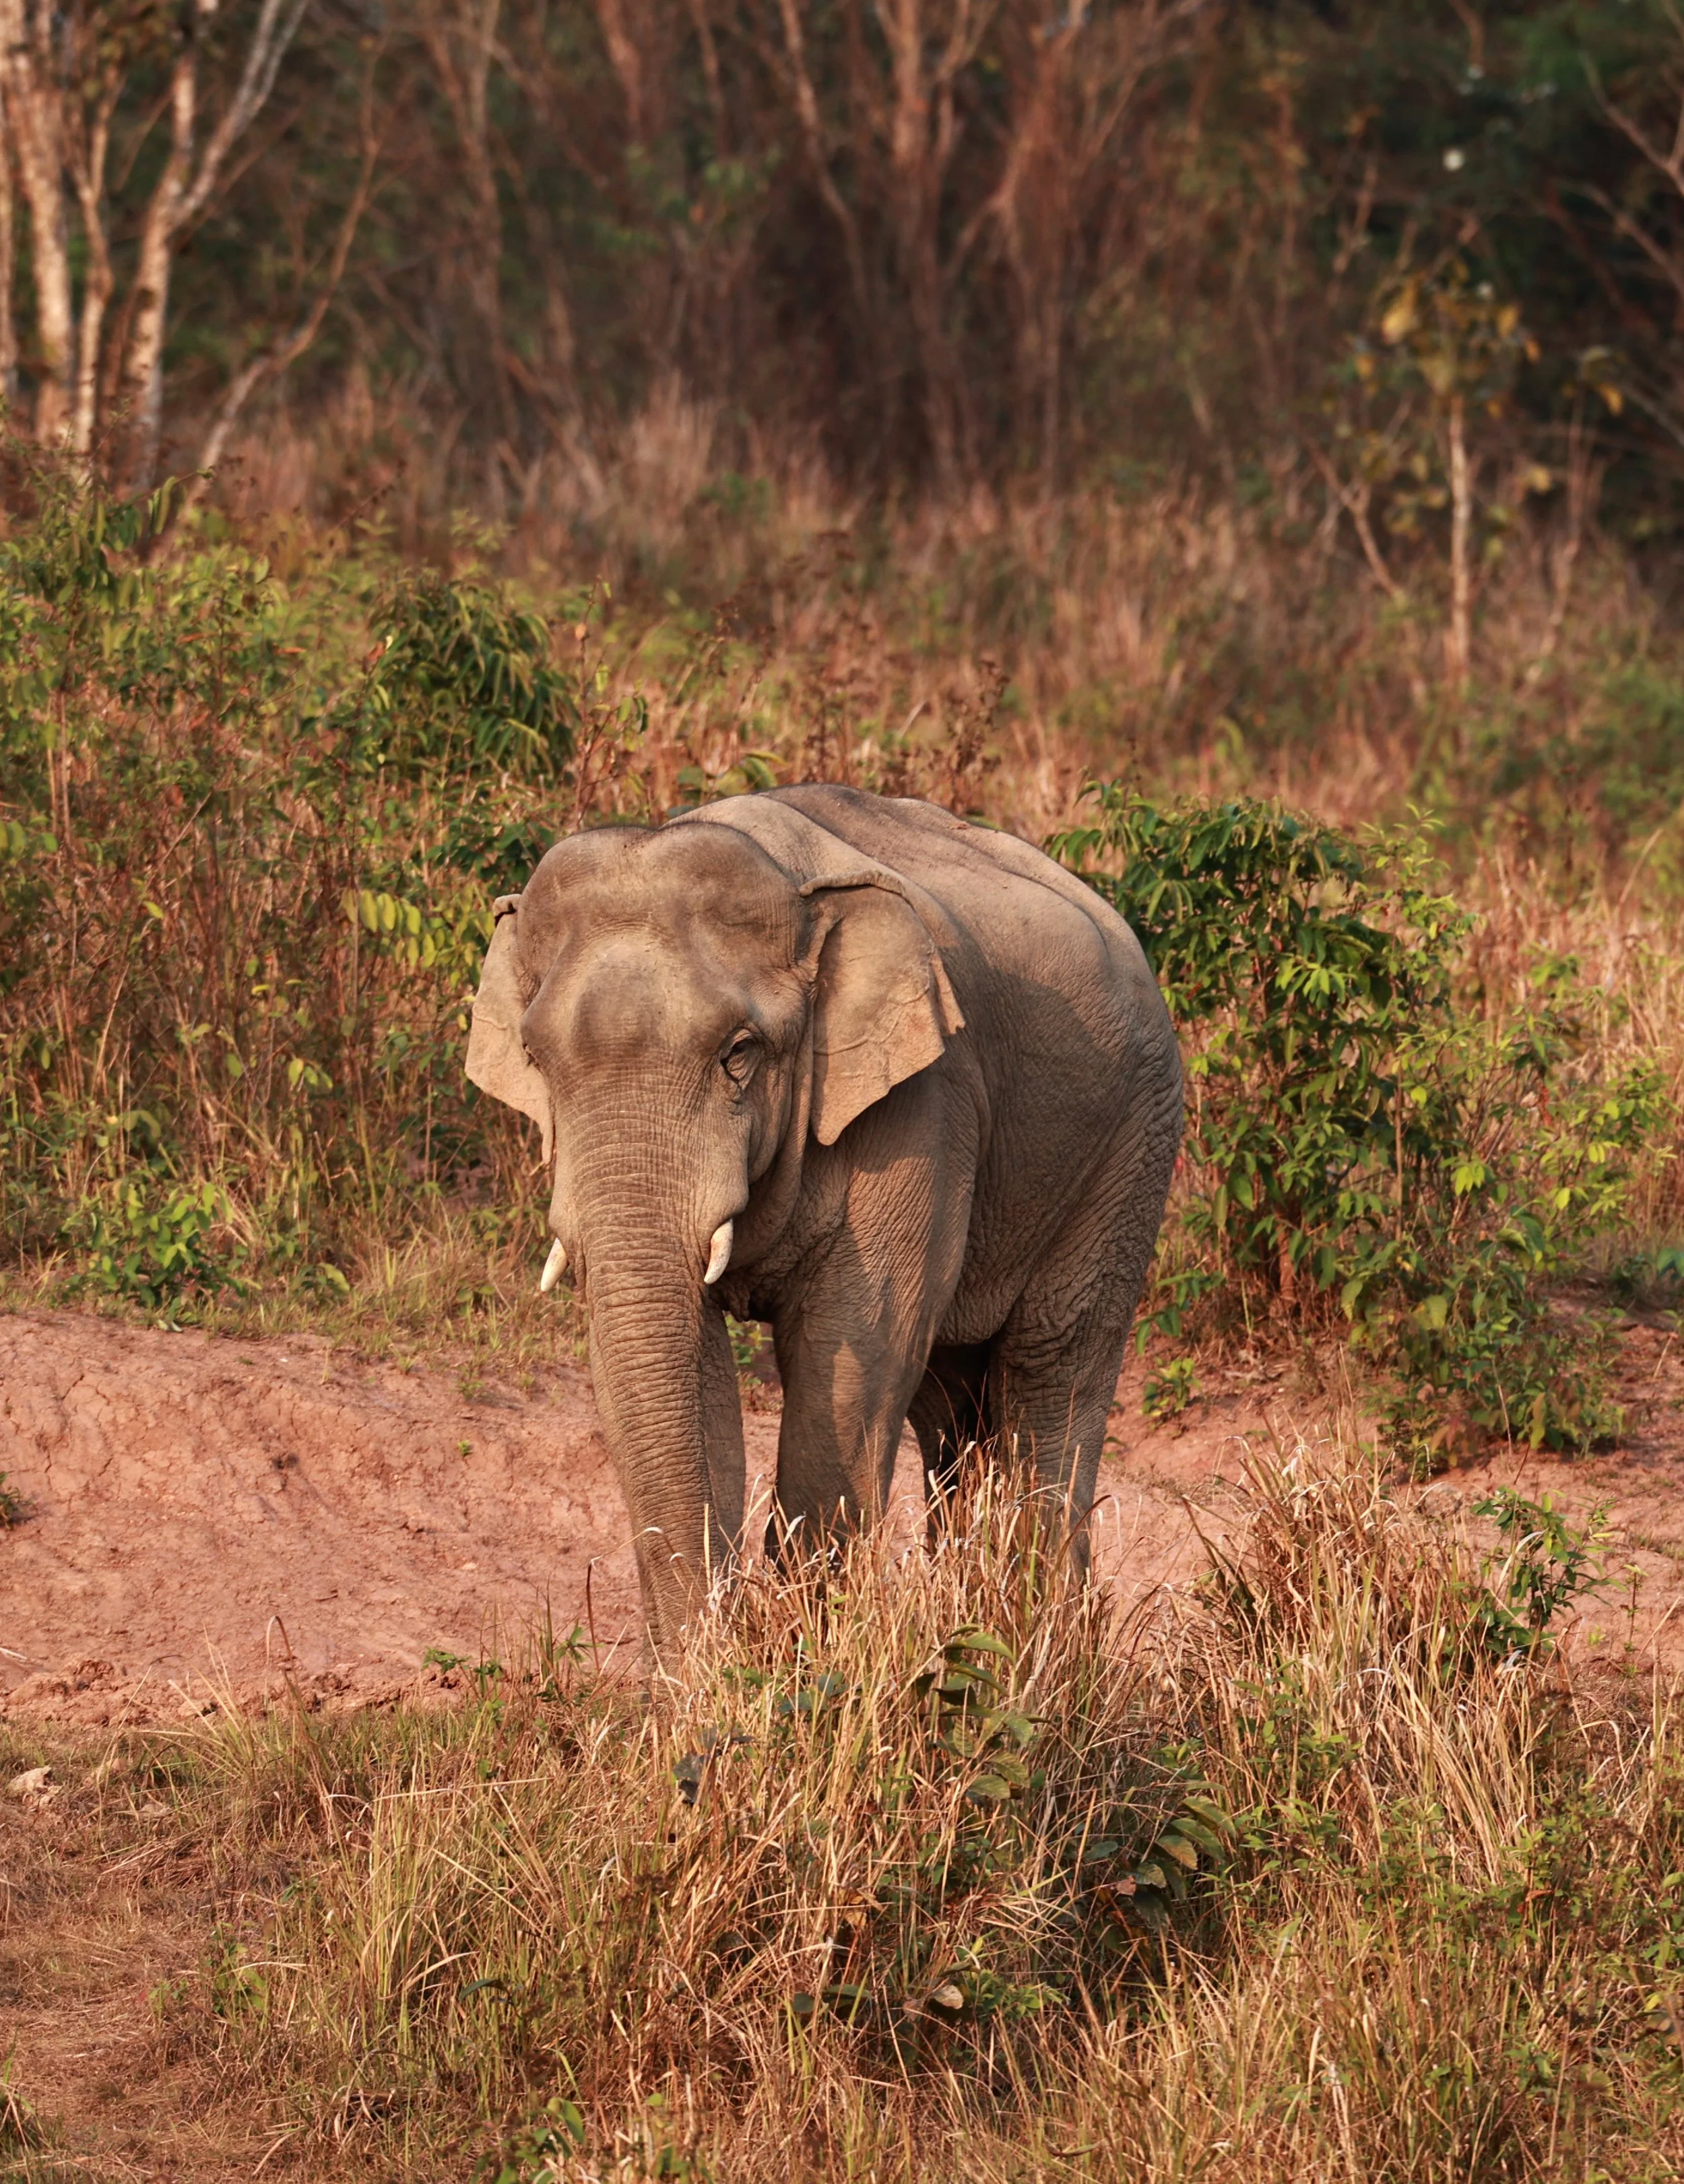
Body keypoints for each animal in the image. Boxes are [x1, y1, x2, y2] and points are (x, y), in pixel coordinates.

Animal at [466, 783, 1183, 1659]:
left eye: (739, 1053)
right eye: (536, 1059)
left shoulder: (924, 1101)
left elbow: (854, 1355)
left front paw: (805, 1664)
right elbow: (690, 1364)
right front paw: (706, 1682)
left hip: (1132, 1146)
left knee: (1052, 1370)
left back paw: (1035, 1642)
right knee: (950, 1403)